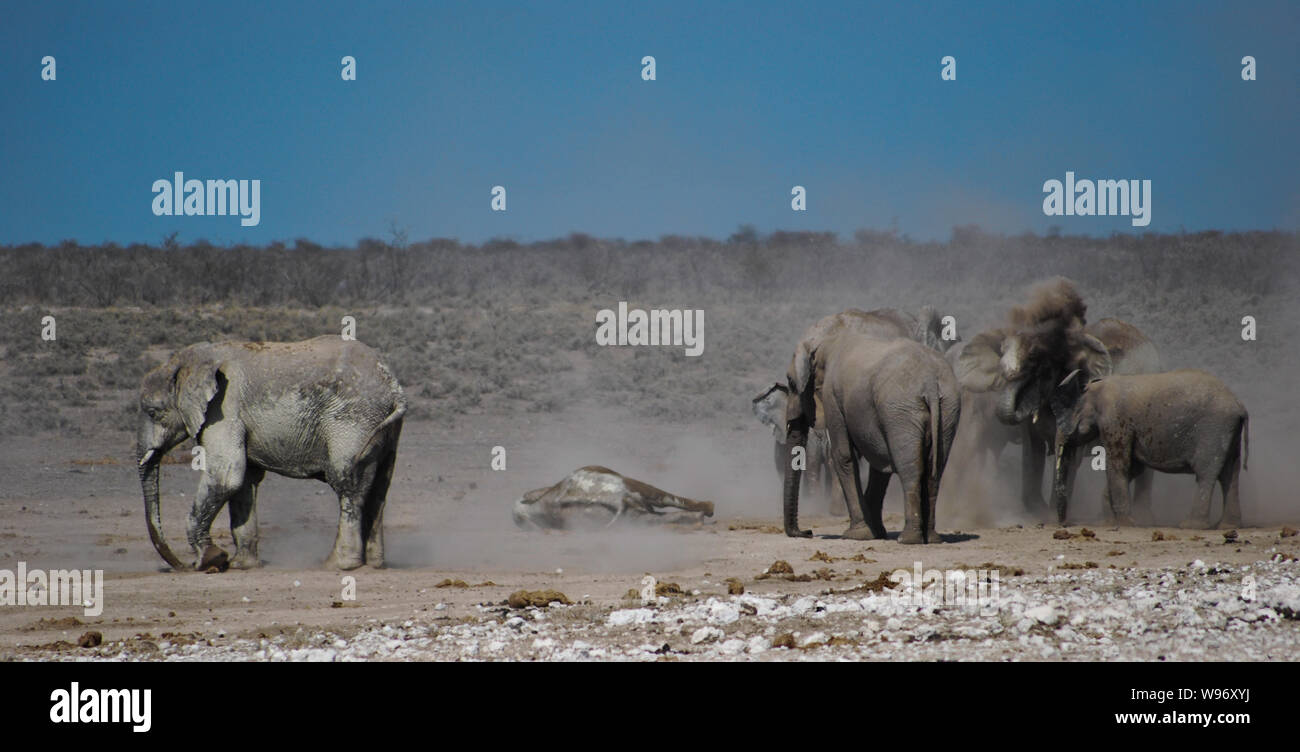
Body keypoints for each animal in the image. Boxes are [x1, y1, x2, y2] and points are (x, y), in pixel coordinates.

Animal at [135, 333, 403, 567]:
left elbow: (226, 476)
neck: (190, 361)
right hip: (381, 428)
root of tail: (393, 386)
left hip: (351, 421)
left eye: (153, 412)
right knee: (378, 489)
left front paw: (211, 561)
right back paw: (374, 565)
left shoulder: (223, 409)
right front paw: (240, 565)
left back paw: (338, 565)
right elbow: (243, 483)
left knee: (347, 484)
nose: (184, 565)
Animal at [774, 313, 961, 541]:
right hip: (947, 408)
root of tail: (930, 383)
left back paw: (908, 539)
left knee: (910, 468)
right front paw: (876, 533)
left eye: (791, 383)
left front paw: (856, 534)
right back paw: (931, 538)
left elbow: (843, 456)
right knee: (935, 470)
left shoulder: (832, 396)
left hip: (901, 411)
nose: (808, 532)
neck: (826, 341)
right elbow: (879, 464)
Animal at [956, 278, 1159, 517]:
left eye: (1034, 356)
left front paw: (1050, 515)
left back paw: (1140, 515)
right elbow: (1031, 450)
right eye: (1002, 350)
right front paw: (1036, 512)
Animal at [1045, 369, 1248, 525]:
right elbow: (1133, 467)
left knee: (1206, 473)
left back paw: (1191, 525)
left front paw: (1126, 524)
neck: (1096, 386)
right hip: (1230, 431)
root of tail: (1240, 406)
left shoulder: (1115, 419)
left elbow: (1119, 464)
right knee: (1230, 473)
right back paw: (1227, 525)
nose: (1065, 524)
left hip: (1213, 429)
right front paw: (1110, 523)